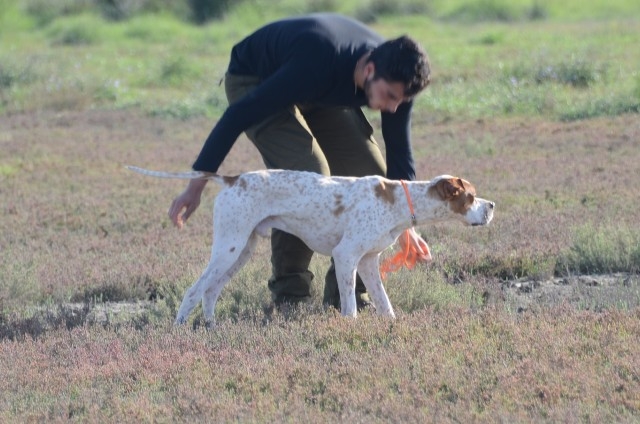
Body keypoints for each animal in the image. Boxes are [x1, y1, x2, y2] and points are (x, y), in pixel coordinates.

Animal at [126, 167, 496, 326]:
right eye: (471, 196)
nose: (492, 206)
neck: (398, 202)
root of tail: (233, 178)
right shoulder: (346, 257)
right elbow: (349, 305)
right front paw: (350, 328)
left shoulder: (368, 262)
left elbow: (384, 303)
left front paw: (391, 325)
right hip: (227, 248)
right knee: (193, 291)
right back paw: (180, 330)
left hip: (240, 251)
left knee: (210, 292)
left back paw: (211, 327)